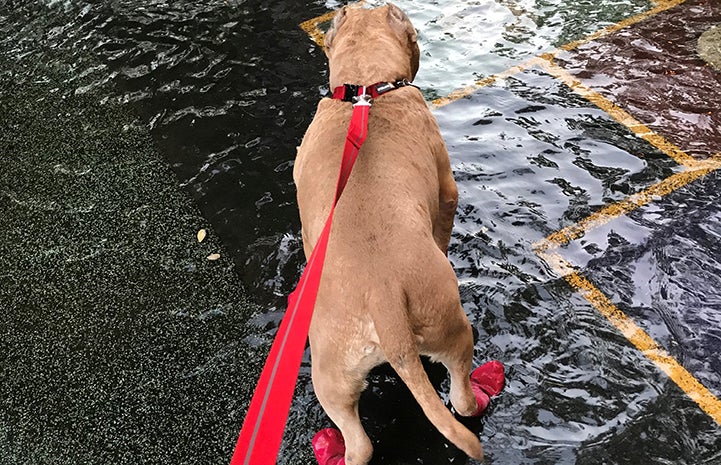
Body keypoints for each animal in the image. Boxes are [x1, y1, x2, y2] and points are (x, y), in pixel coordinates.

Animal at [292, 2, 496, 460]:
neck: (365, 87)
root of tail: (382, 298)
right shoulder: (447, 191)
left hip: (332, 374)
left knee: (359, 444)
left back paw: (334, 451)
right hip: (452, 329)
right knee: (460, 400)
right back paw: (483, 391)